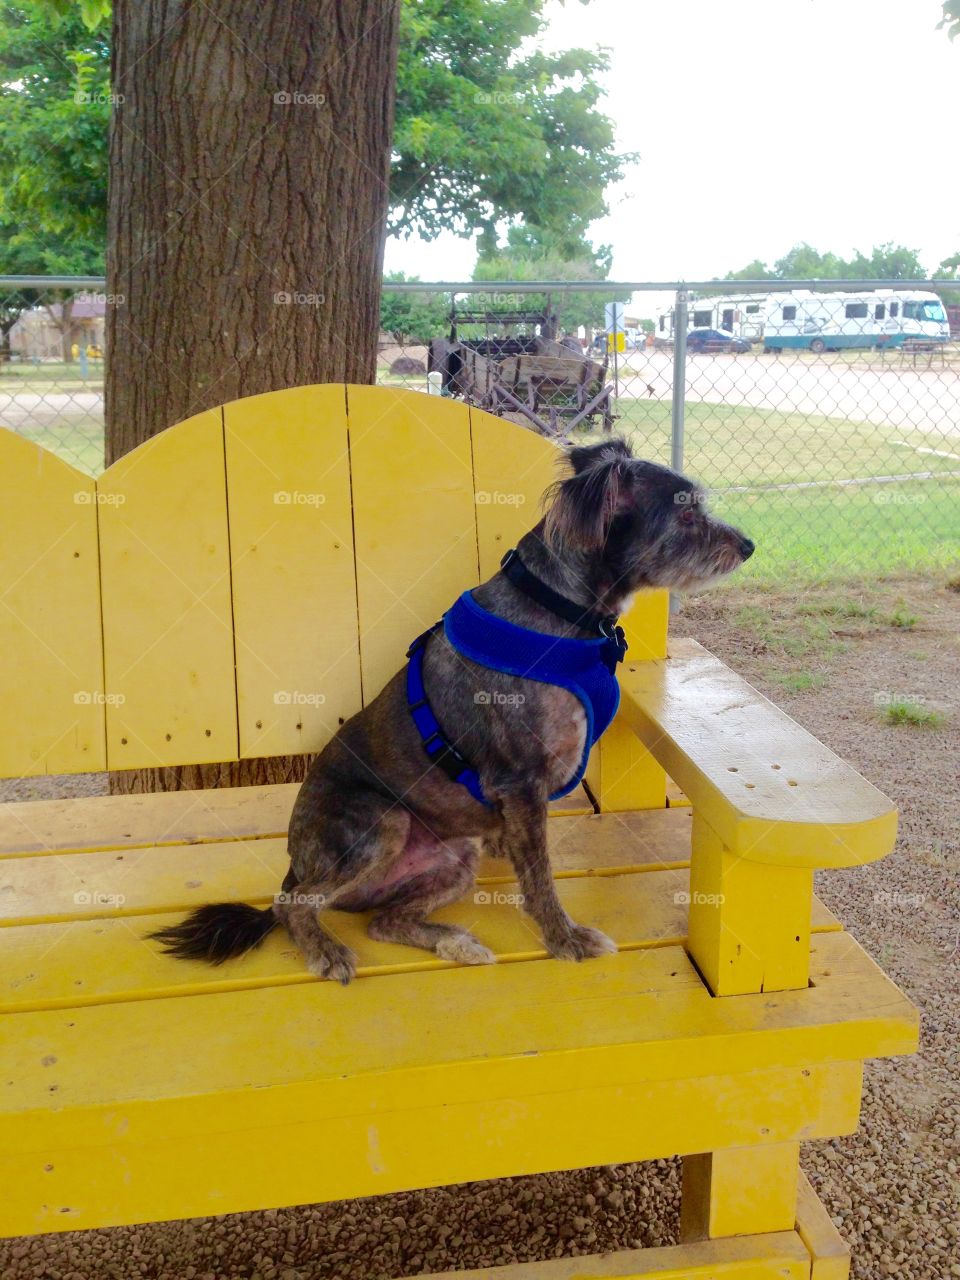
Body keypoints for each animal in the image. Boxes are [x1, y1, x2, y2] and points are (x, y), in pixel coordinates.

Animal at [150, 435, 757, 983]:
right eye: (686, 515)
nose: (749, 546)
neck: (558, 608)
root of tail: (295, 862)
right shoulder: (520, 779)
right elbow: (541, 877)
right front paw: (565, 939)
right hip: (381, 822)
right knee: (293, 904)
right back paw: (326, 951)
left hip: (454, 863)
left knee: (383, 921)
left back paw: (455, 943)